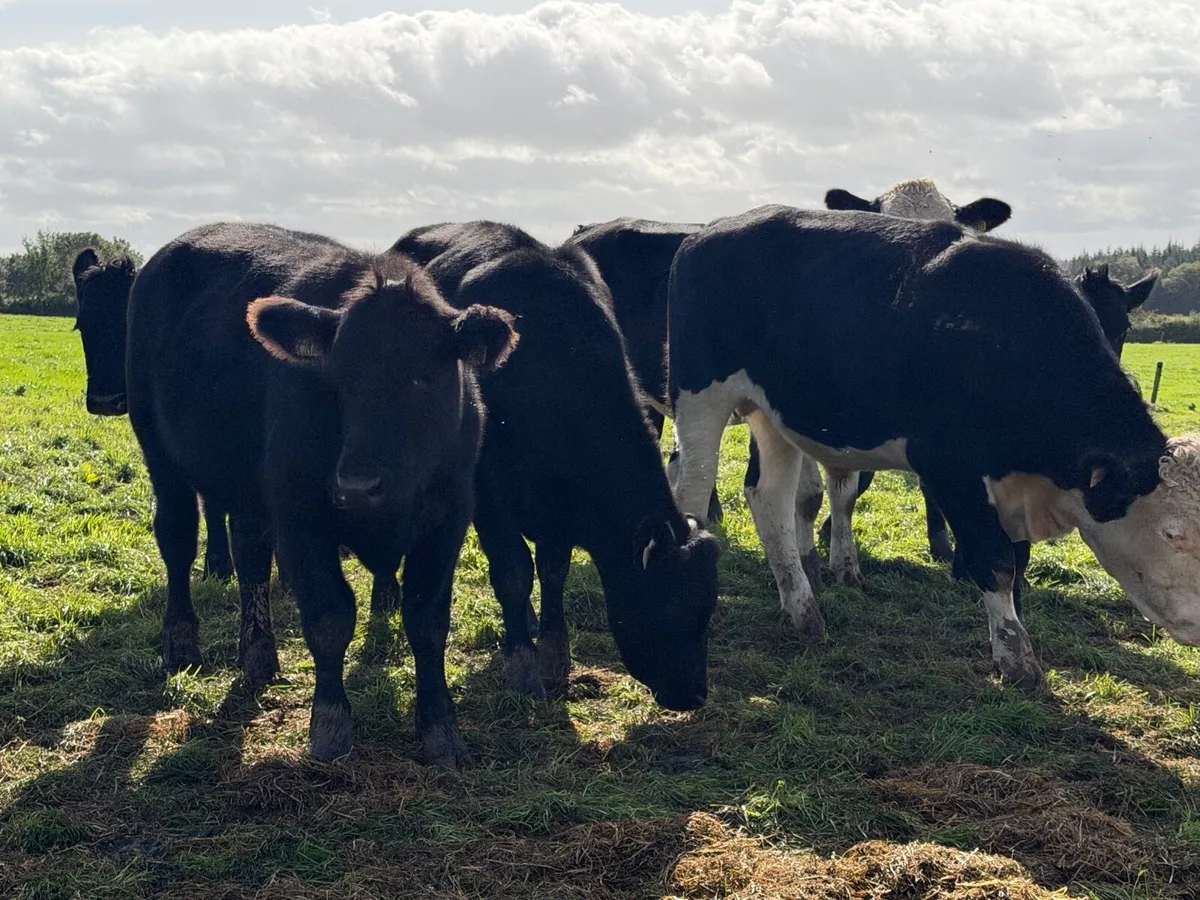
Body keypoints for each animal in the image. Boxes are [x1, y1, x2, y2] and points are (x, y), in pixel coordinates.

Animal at [126, 223, 518, 765]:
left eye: (425, 377)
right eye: (337, 379)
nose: (356, 484)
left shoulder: (449, 517)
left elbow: (428, 620)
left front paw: (441, 728)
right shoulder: (299, 514)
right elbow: (330, 617)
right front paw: (330, 723)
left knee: (250, 555)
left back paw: (259, 655)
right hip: (159, 449)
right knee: (177, 540)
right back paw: (181, 643)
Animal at [390, 222, 720, 709]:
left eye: (708, 608)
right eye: (671, 605)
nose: (695, 694)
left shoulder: (560, 508)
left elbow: (551, 570)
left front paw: (553, 653)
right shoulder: (488, 492)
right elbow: (512, 573)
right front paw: (523, 667)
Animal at [668, 205, 1200, 691]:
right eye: (1172, 534)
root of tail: (709, 231)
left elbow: (1017, 562)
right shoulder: (949, 465)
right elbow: (995, 561)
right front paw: (1017, 660)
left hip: (773, 414)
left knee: (769, 501)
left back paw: (803, 611)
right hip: (700, 400)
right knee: (692, 492)